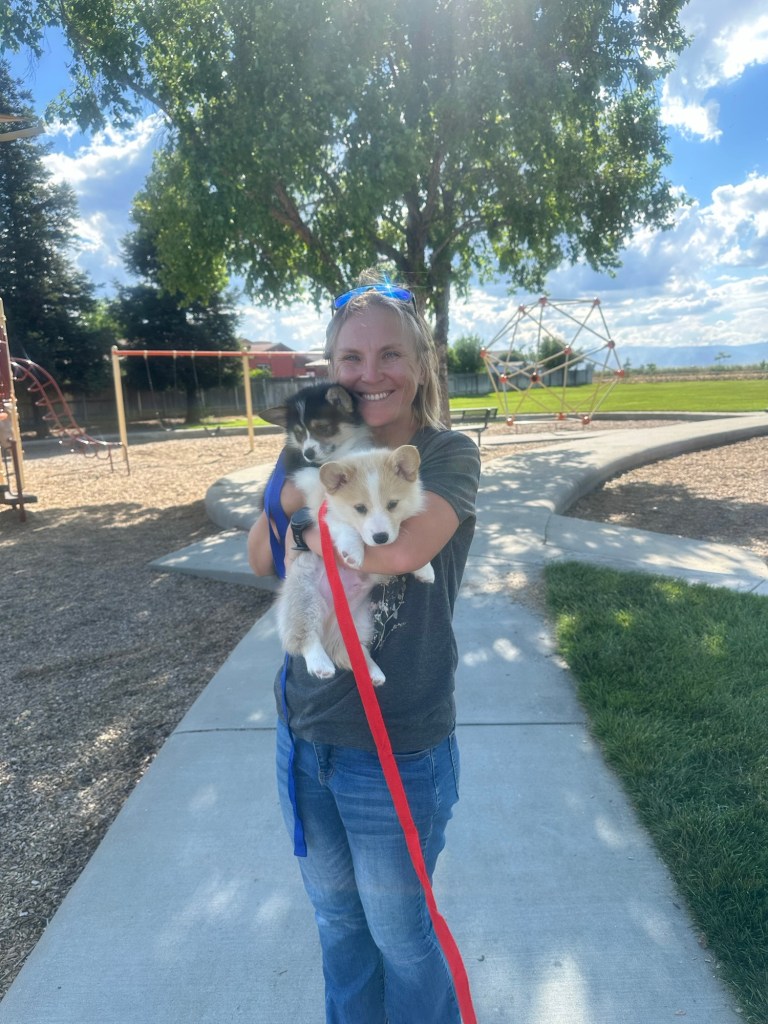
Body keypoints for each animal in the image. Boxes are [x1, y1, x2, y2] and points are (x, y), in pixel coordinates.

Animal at [277, 445, 435, 686]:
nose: (380, 538)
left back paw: (373, 673)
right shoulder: (323, 515)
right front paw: (352, 552)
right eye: (360, 508)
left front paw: (425, 569)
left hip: (360, 622)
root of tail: (330, 624)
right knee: (305, 638)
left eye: (392, 504)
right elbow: (345, 527)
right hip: (305, 598)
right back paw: (320, 664)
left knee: (351, 653)